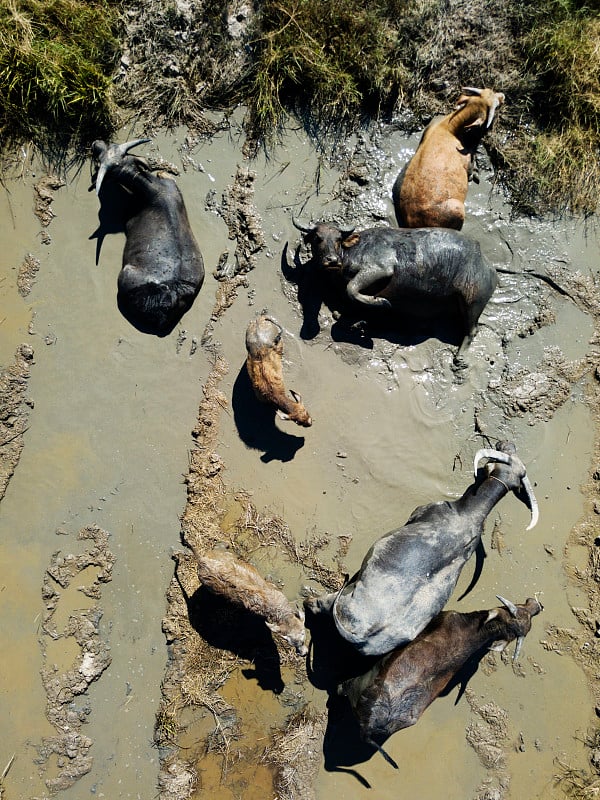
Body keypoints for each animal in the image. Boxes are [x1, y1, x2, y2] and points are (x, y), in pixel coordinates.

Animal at [292, 219, 496, 368]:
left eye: (337, 239)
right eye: (317, 238)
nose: (332, 260)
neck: (351, 253)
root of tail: (488, 266)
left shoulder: (381, 268)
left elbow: (352, 289)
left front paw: (381, 303)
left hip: (472, 300)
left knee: (472, 330)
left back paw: (460, 358)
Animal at [304, 440, 540, 660]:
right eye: (510, 454)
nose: (508, 444)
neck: (468, 513)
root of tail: (362, 635)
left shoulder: (420, 511)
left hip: (341, 600)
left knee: (321, 604)